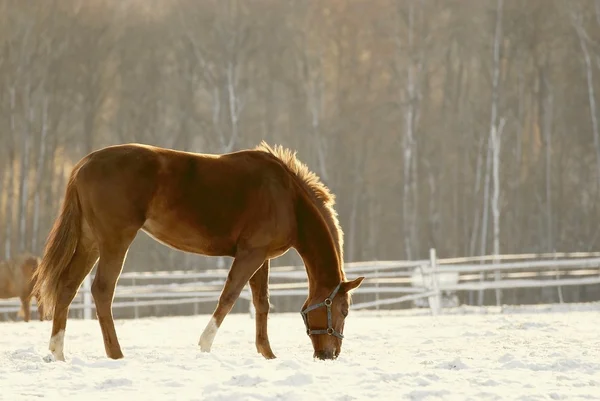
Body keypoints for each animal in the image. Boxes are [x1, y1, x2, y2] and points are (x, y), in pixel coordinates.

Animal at [34, 142, 366, 360]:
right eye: (344, 310)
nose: (330, 354)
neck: (287, 198)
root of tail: (84, 164)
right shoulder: (251, 254)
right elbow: (229, 296)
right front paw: (205, 344)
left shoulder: (262, 258)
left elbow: (262, 303)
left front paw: (267, 354)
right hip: (115, 241)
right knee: (102, 290)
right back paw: (116, 354)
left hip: (90, 241)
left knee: (67, 286)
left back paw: (57, 352)